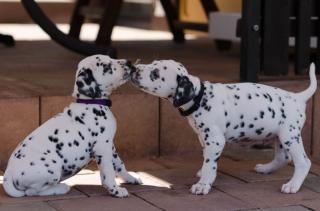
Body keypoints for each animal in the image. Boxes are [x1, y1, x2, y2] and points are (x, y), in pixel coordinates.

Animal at [3, 54, 141, 198]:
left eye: (111, 58)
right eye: (106, 66)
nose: (129, 62)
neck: (91, 102)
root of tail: (8, 174)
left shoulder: (110, 145)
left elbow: (119, 163)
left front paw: (131, 178)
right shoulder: (103, 148)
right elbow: (108, 173)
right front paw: (116, 190)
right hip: (52, 168)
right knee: (32, 191)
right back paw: (61, 188)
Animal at [131, 59, 316, 195]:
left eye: (155, 74)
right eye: (151, 63)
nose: (134, 68)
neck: (201, 97)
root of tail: (297, 97)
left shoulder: (215, 140)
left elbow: (210, 164)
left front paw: (203, 184)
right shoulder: (203, 138)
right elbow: (206, 158)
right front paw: (202, 172)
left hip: (289, 136)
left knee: (303, 162)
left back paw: (293, 185)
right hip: (279, 136)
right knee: (283, 158)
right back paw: (266, 169)